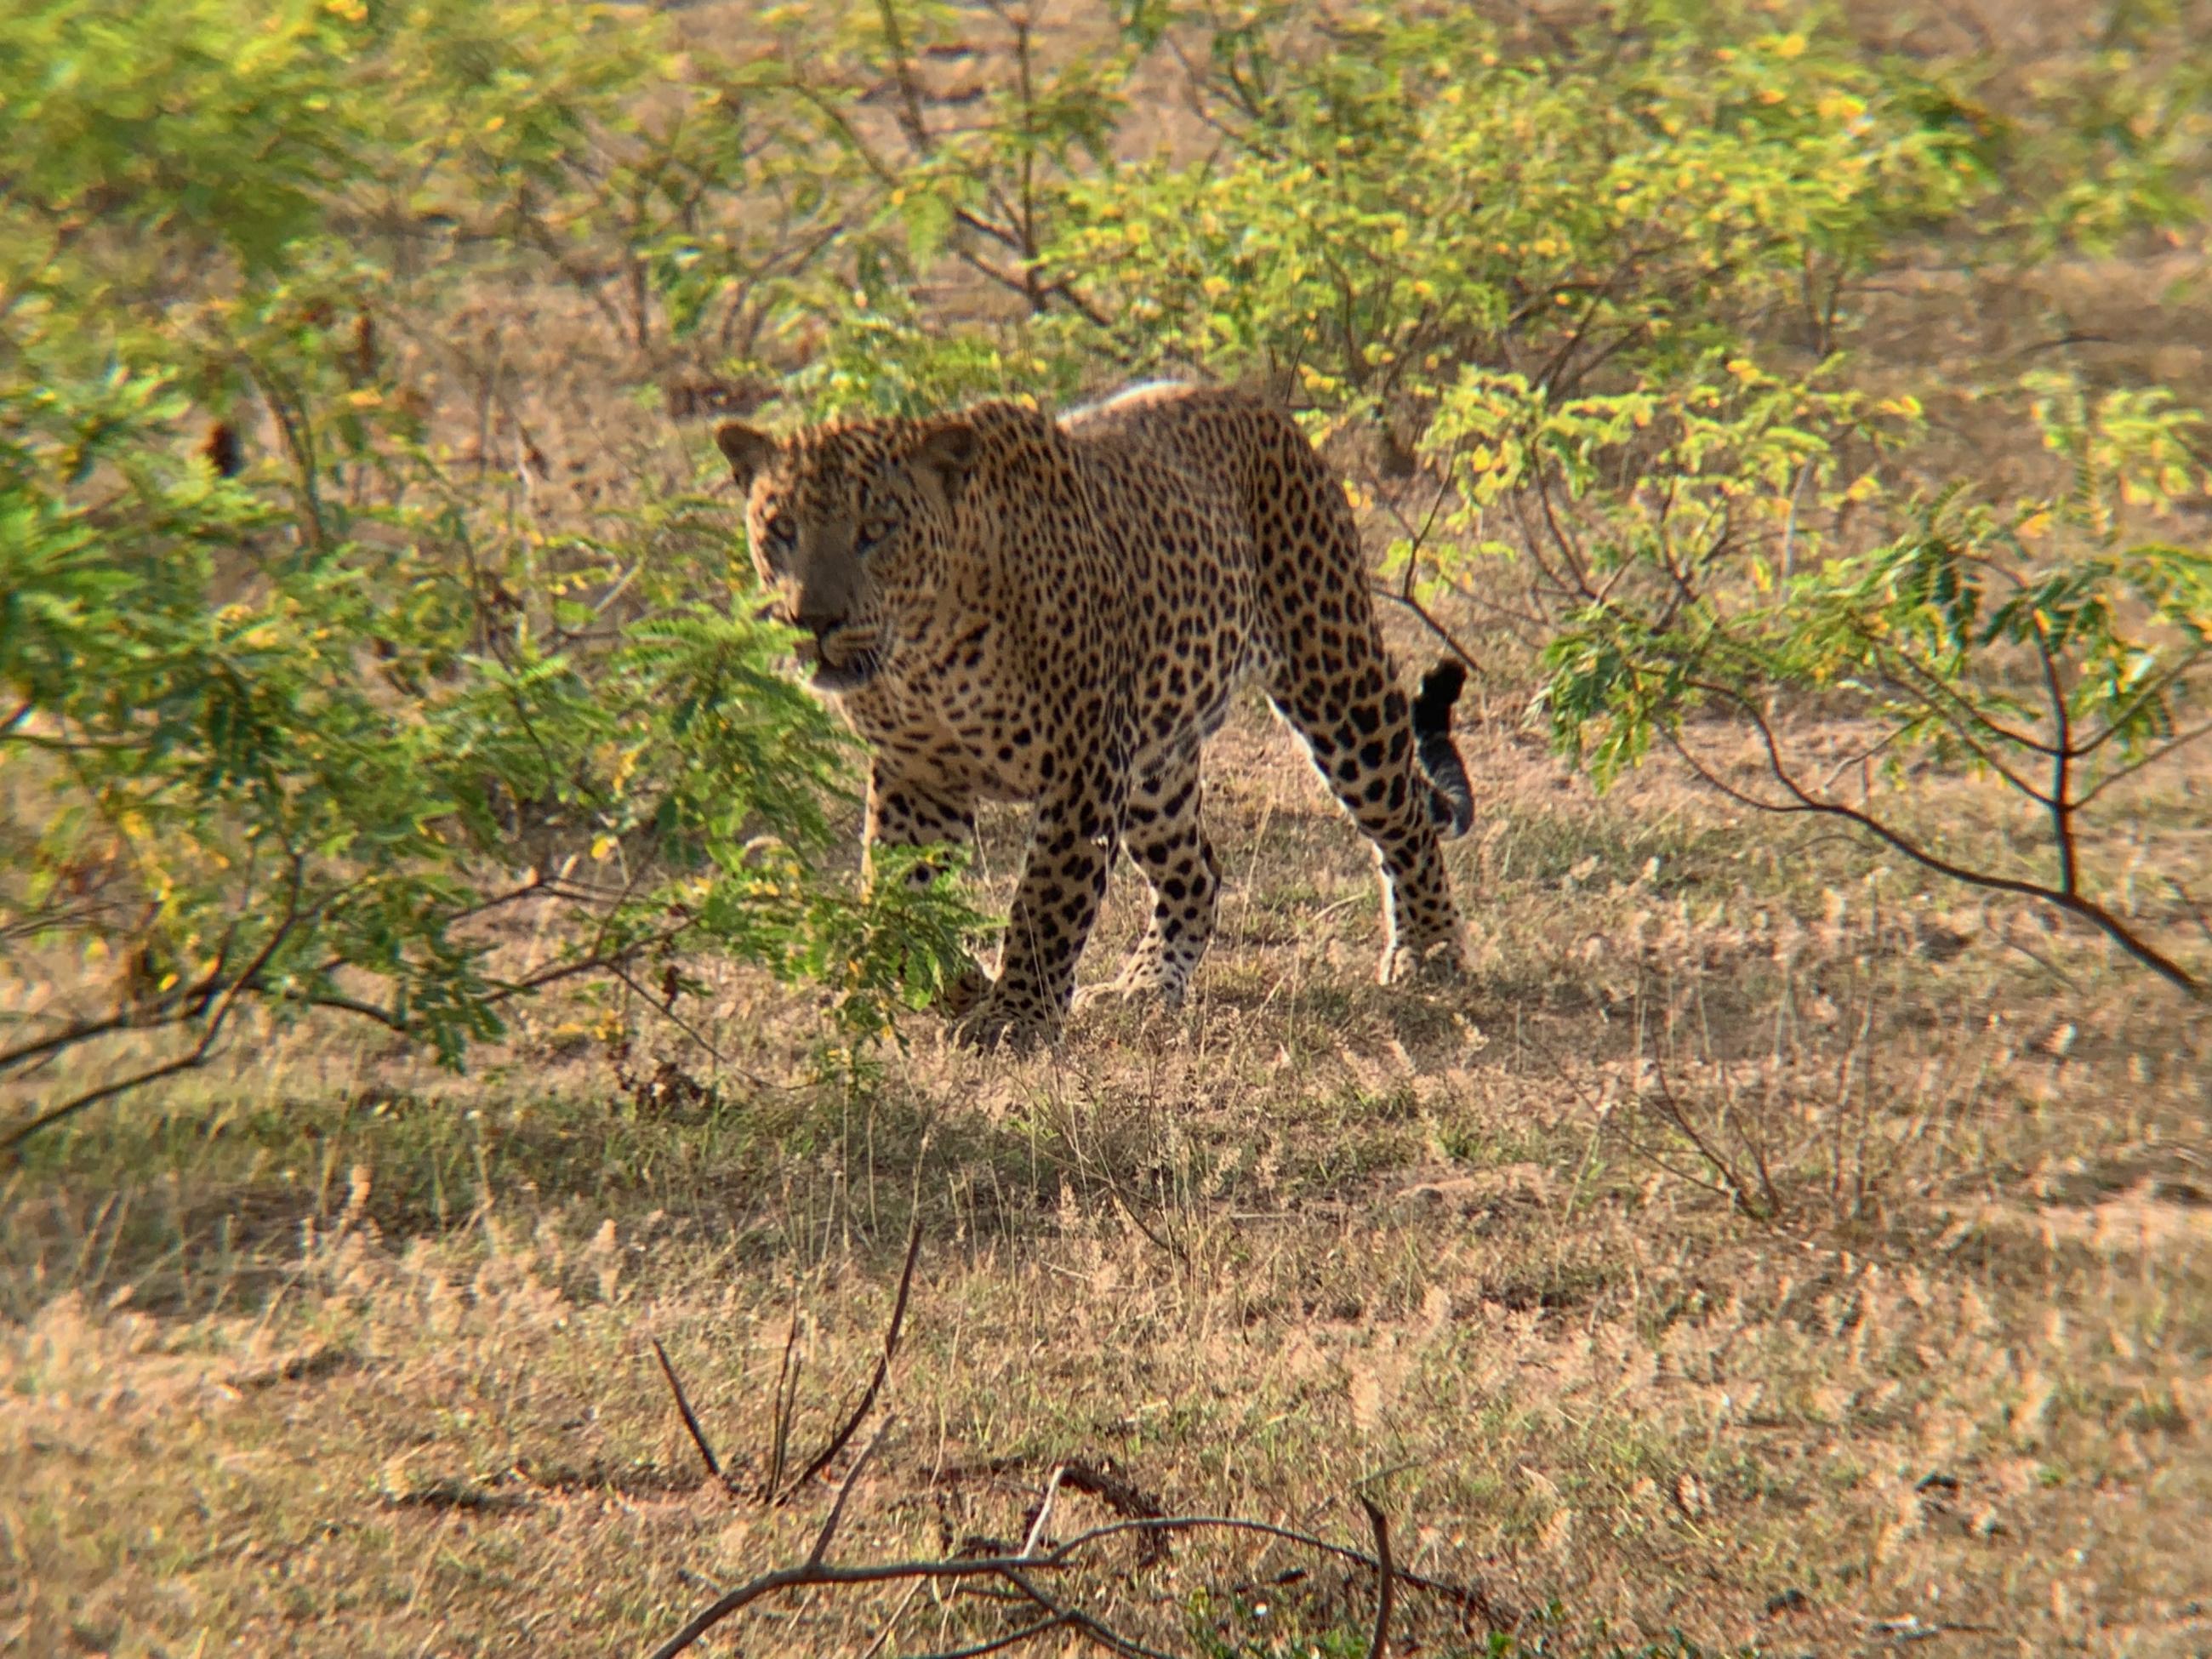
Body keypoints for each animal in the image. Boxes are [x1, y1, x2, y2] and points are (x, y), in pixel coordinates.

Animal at [714, 381, 1475, 1050]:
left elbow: (1046, 902)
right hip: (1154, 770)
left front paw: (1015, 1017)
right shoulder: (918, 776)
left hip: (1334, 680)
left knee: (1403, 818)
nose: (812, 620)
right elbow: (903, 896)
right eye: (781, 531)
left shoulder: (1080, 768)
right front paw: (960, 983)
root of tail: (1258, 402)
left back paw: (1430, 951)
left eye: (876, 532)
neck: (924, 654)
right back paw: (1146, 983)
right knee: (1197, 869)